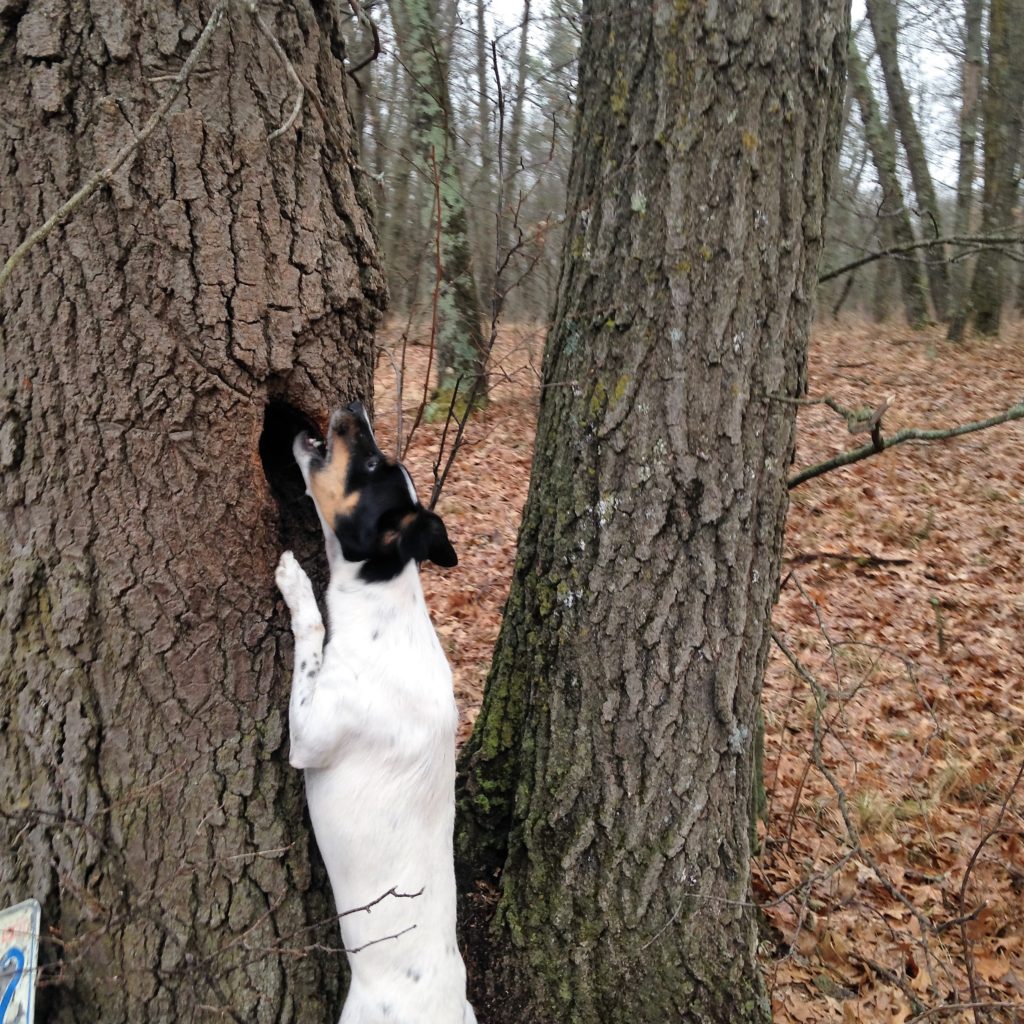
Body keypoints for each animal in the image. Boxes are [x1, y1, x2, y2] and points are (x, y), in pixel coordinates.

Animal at [274, 401, 477, 1024]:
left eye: (368, 464)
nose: (353, 406)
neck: (385, 604)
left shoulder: (309, 734)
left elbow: (313, 628)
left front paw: (296, 583)